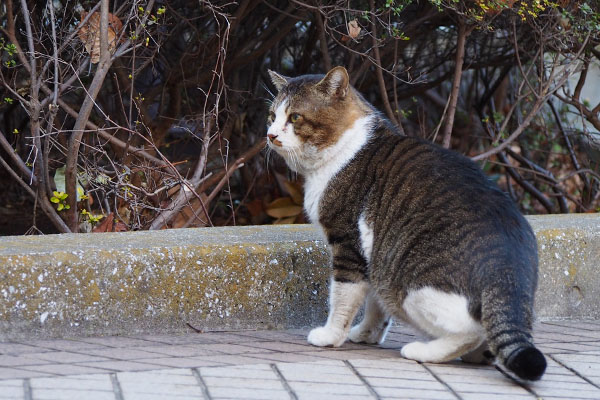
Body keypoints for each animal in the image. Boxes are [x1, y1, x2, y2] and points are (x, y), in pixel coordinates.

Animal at [264, 65, 548, 382]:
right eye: (272, 115)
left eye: (295, 117)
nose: (270, 135)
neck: (344, 147)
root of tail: (509, 268)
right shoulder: (376, 254)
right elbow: (375, 306)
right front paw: (366, 335)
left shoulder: (348, 243)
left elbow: (342, 297)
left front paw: (330, 336)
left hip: (413, 286)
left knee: (470, 331)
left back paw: (423, 351)